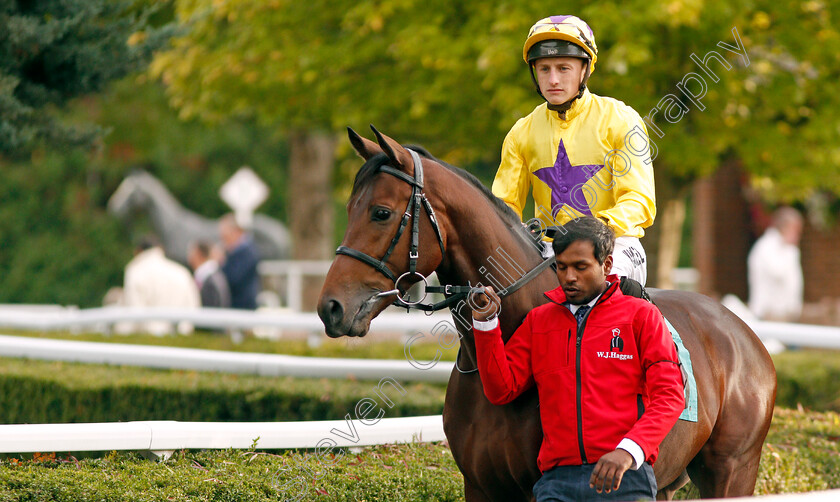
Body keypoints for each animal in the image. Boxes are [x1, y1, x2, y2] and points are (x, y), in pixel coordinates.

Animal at [318, 127, 776, 500]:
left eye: (380, 212)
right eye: (348, 208)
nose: (330, 307)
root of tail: (745, 335)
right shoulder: (481, 487)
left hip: (733, 470)